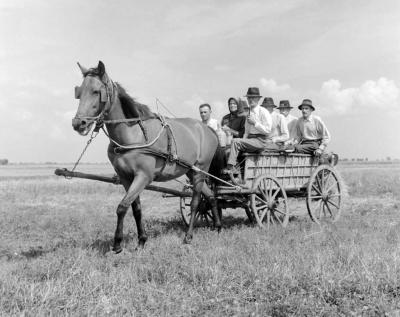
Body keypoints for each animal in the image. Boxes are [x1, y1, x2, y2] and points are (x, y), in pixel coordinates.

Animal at [71, 59, 222, 252]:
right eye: (79, 92)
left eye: (96, 91)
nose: (78, 123)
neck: (133, 134)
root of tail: (207, 128)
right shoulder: (125, 177)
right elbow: (136, 208)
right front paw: (142, 240)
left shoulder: (143, 176)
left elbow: (122, 207)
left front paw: (117, 243)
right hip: (190, 171)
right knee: (210, 196)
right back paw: (218, 227)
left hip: (200, 170)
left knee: (196, 202)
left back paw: (188, 236)